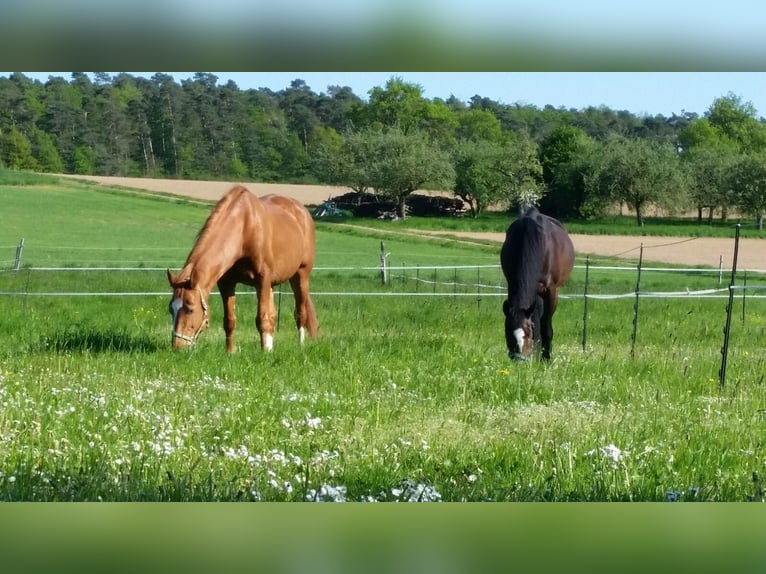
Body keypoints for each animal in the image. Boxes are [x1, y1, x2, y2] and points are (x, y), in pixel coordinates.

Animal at [170, 187, 320, 354]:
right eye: (171, 309)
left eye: (190, 309)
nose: (177, 346)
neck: (244, 229)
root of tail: (302, 211)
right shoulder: (227, 283)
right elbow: (230, 320)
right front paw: (230, 351)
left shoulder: (262, 280)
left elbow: (262, 318)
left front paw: (264, 353)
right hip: (272, 285)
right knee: (273, 315)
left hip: (300, 275)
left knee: (300, 312)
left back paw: (300, 345)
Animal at [500, 206, 572, 360]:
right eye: (508, 332)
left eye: (528, 332)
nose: (519, 360)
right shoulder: (512, 285)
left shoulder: (551, 292)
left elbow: (546, 326)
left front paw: (546, 358)